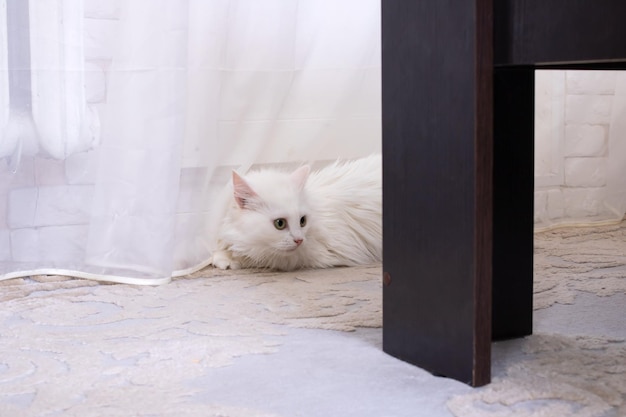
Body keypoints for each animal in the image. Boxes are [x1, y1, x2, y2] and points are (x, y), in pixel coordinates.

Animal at [211, 154, 380, 272]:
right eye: (280, 223)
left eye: (302, 221)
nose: (299, 240)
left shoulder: (307, 256)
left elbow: (257, 257)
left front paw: (227, 259)